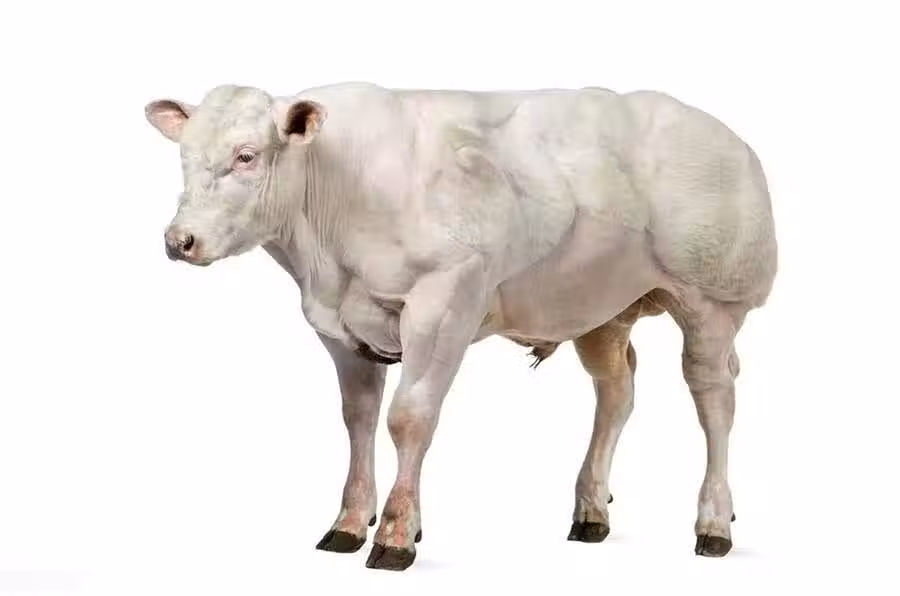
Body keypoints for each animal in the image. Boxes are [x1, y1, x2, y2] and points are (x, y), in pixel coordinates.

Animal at [144, 81, 778, 571]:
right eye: (184, 157)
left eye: (246, 155)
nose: (180, 240)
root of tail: (731, 137)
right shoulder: (339, 328)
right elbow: (358, 418)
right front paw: (349, 522)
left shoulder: (445, 299)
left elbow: (408, 417)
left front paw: (396, 533)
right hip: (602, 306)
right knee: (617, 390)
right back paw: (591, 510)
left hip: (713, 300)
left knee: (714, 398)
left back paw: (713, 522)